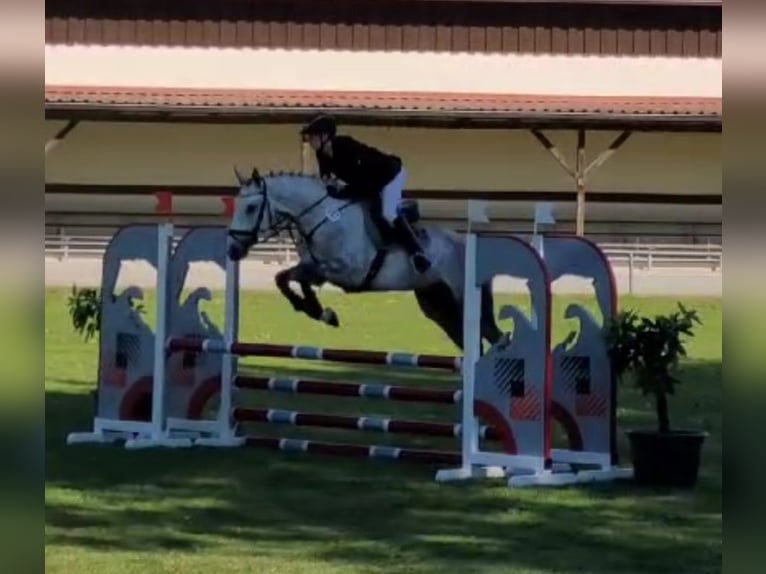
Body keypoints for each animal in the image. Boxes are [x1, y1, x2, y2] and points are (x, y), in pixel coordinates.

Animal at [225, 168, 508, 352]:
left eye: (251, 208)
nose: (232, 250)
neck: (322, 216)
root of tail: (465, 243)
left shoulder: (344, 271)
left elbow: (298, 278)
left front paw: (321, 311)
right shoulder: (316, 269)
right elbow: (284, 278)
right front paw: (319, 312)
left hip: (461, 298)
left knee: (489, 336)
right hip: (436, 304)